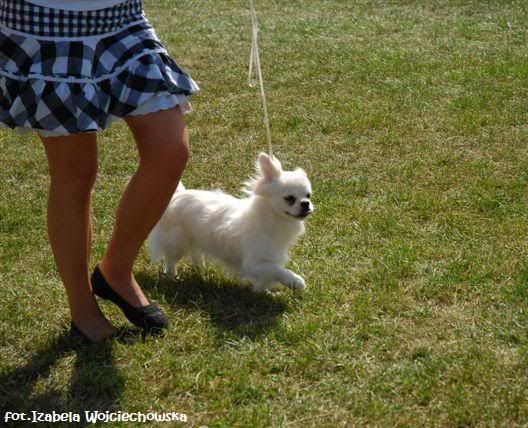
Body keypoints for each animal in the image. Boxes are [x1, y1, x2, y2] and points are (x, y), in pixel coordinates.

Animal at [147, 152, 314, 292]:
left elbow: (268, 276)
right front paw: (295, 281)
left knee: (195, 252)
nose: (306, 204)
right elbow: (276, 270)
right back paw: (172, 277)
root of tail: (178, 195)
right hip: (178, 242)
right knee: (170, 258)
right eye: (290, 198)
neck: (272, 219)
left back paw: (201, 269)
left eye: (308, 195)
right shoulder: (254, 264)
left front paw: (265, 291)